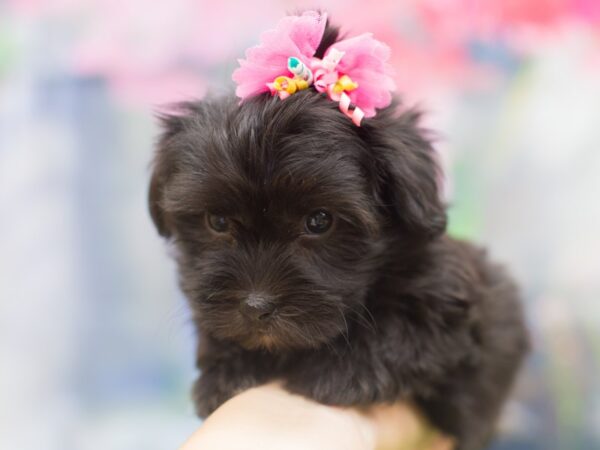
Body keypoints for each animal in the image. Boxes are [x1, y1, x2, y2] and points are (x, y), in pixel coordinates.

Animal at [148, 23, 528, 450]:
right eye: (217, 222)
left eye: (319, 221)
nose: (256, 307)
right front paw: (228, 372)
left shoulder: (455, 295)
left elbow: (414, 322)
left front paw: (342, 372)